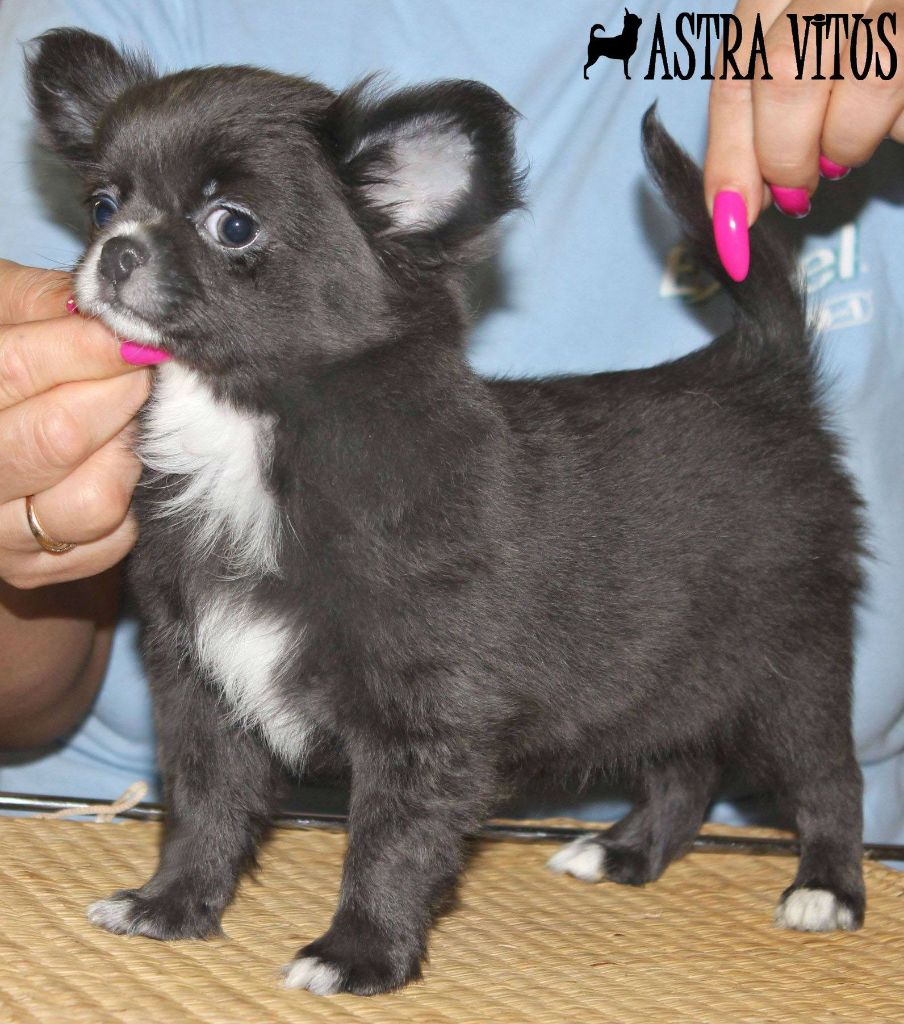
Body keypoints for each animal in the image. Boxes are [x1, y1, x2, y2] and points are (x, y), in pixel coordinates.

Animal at [28, 28, 865, 997]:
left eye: (232, 224)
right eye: (101, 205)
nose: (117, 250)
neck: (247, 425)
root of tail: (759, 372)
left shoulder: (425, 713)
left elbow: (390, 838)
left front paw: (358, 953)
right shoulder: (200, 681)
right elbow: (204, 803)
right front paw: (172, 904)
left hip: (789, 669)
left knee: (829, 778)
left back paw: (826, 889)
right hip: (665, 672)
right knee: (685, 769)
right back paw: (624, 852)